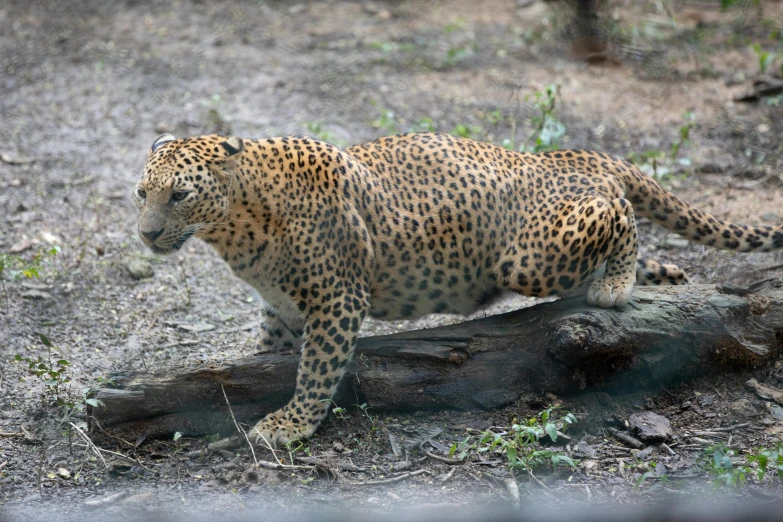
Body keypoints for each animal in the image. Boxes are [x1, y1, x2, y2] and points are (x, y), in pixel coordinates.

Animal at [135, 132, 783, 444]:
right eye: (142, 192)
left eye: (180, 195)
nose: (145, 234)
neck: (234, 227)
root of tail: (569, 153)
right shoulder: (283, 302)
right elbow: (272, 342)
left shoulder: (338, 298)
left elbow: (316, 371)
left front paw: (289, 425)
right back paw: (666, 274)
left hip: (529, 256)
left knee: (617, 213)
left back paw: (619, 283)